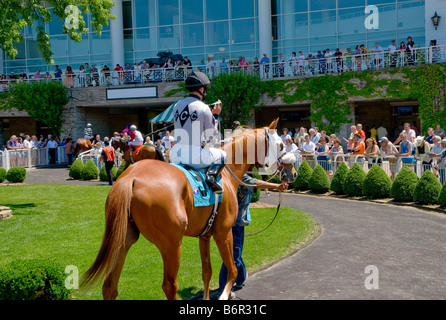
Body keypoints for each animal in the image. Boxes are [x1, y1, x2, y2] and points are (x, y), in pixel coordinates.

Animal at [81, 119, 296, 302]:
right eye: (281, 145)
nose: (292, 173)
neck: (227, 173)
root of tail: (130, 176)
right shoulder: (223, 233)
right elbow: (232, 270)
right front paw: (224, 295)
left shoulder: (205, 235)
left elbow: (207, 272)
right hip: (171, 244)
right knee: (169, 286)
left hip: (124, 238)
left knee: (110, 286)